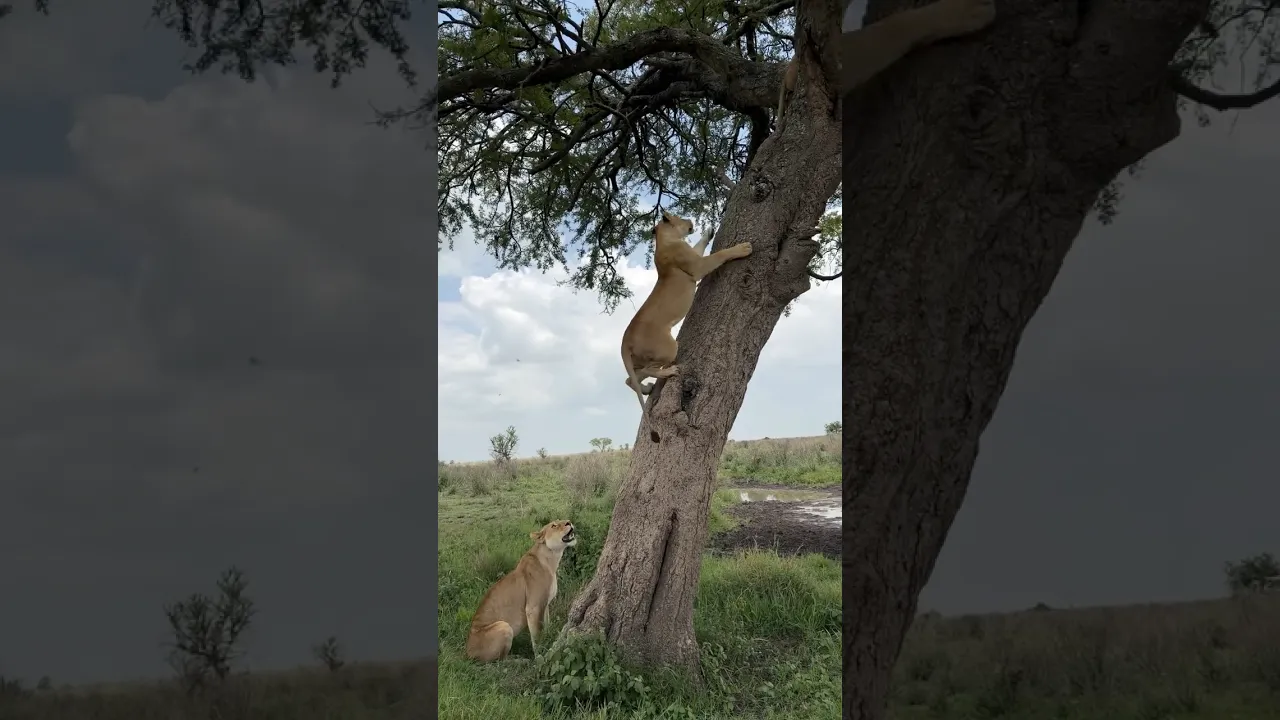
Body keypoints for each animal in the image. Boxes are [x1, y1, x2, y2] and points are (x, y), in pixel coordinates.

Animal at [464, 520, 578, 662]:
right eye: (554, 525)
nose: (569, 522)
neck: (551, 560)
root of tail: (468, 652)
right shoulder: (533, 608)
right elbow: (537, 635)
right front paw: (540, 656)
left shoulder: (545, 604)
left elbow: (546, 625)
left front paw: (549, 639)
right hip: (504, 626)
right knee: (499, 661)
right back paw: (520, 660)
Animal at [620, 210, 752, 443]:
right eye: (678, 216)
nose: (691, 222)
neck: (664, 240)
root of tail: (624, 341)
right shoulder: (698, 267)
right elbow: (720, 255)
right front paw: (742, 248)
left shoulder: (694, 255)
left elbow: (700, 245)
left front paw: (708, 232)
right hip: (669, 347)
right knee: (650, 369)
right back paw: (670, 371)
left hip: (639, 360)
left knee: (630, 379)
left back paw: (646, 388)